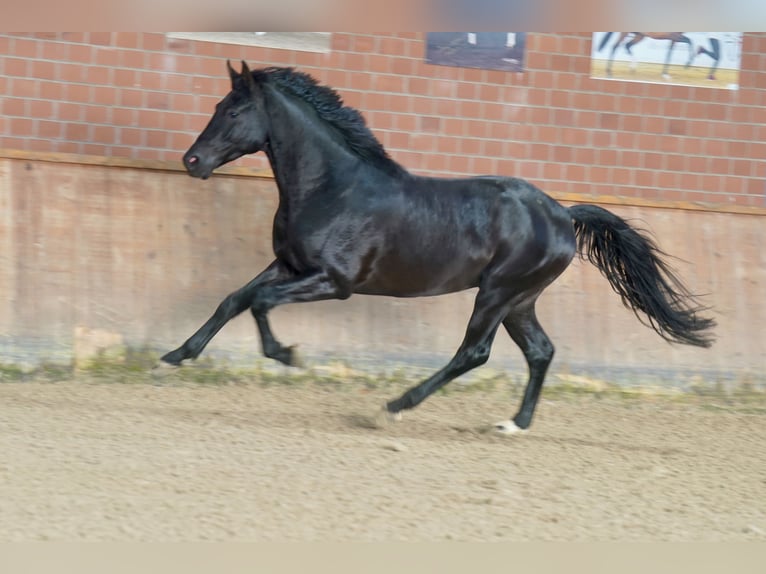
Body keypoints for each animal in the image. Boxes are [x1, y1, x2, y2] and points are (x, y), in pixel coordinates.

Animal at [159, 62, 716, 432]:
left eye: (235, 110)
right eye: (218, 106)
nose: (192, 161)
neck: (332, 188)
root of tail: (563, 214)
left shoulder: (333, 282)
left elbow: (258, 302)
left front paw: (288, 355)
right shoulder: (288, 264)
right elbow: (234, 298)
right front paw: (175, 355)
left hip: (497, 293)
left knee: (474, 351)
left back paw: (396, 405)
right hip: (520, 300)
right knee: (540, 351)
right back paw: (514, 424)